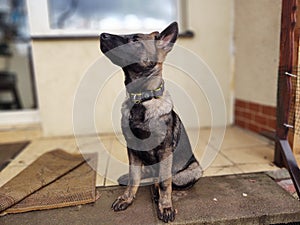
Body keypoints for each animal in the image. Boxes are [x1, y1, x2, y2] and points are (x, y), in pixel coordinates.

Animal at [100, 22, 202, 222]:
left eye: (135, 40)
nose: (102, 35)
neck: (142, 98)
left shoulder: (165, 151)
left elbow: (165, 183)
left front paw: (166, 206)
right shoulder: (132, 148)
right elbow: (135, 177)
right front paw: (127, 198)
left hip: (192, 170)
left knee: (166, 179)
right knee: (147, 173)